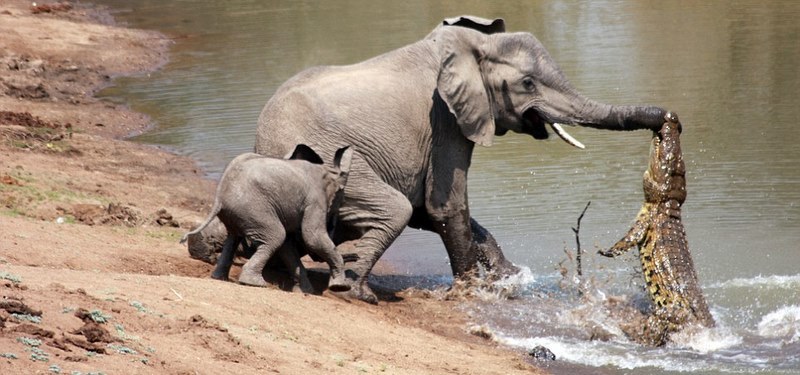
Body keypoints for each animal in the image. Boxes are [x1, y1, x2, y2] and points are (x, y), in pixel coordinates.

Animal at [186, 145, 354, 294]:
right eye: (340, 199)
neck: (328, 170)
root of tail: (219, 194)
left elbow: (288, 247)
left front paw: (305, 292)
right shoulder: (315, 201)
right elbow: (312, 238)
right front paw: (340, 287)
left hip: (238, 212)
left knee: (234, 238)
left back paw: (220, 278)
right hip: (254, 208)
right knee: (276, 235)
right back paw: (254, 283)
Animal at [253, 15, 664, 306]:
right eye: (528, 84)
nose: (667, 120)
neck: (471, 47)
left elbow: (431, 211)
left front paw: (509, 278)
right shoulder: (445, 121)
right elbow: (444, 206)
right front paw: (472, 292)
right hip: (326, 162)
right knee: (395, 209)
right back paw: (358, 293)